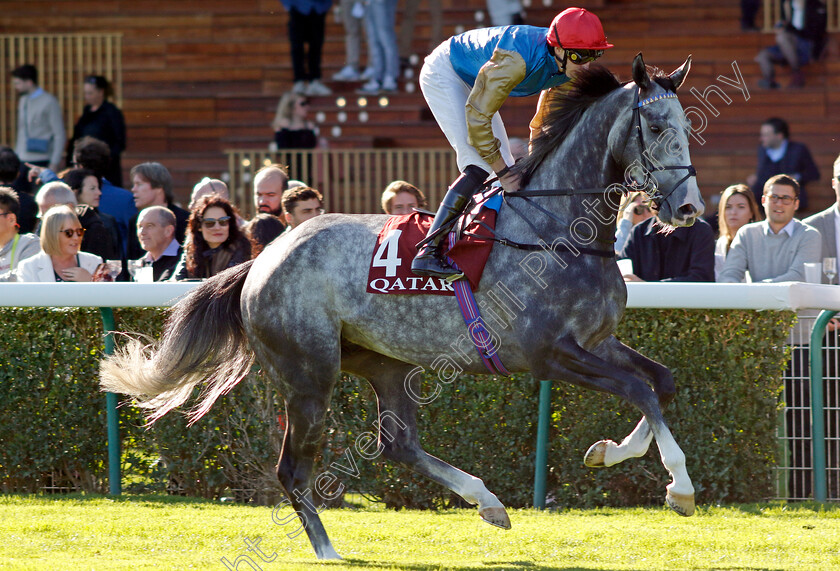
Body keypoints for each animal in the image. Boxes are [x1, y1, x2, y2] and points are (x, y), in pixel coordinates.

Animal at [100, 55, 704, 560]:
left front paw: (609, 452)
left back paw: (488, 502)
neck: (555, 230)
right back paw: (328, 549)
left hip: (384, 362)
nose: (689, 208)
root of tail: (264, 257)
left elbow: (661, 382)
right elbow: (638, 389)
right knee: (292, 469)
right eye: (656, 128)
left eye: (685, 125)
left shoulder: (597, 341)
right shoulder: (548, 354)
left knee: (399, 445)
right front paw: (680, 485)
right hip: (308, 372)